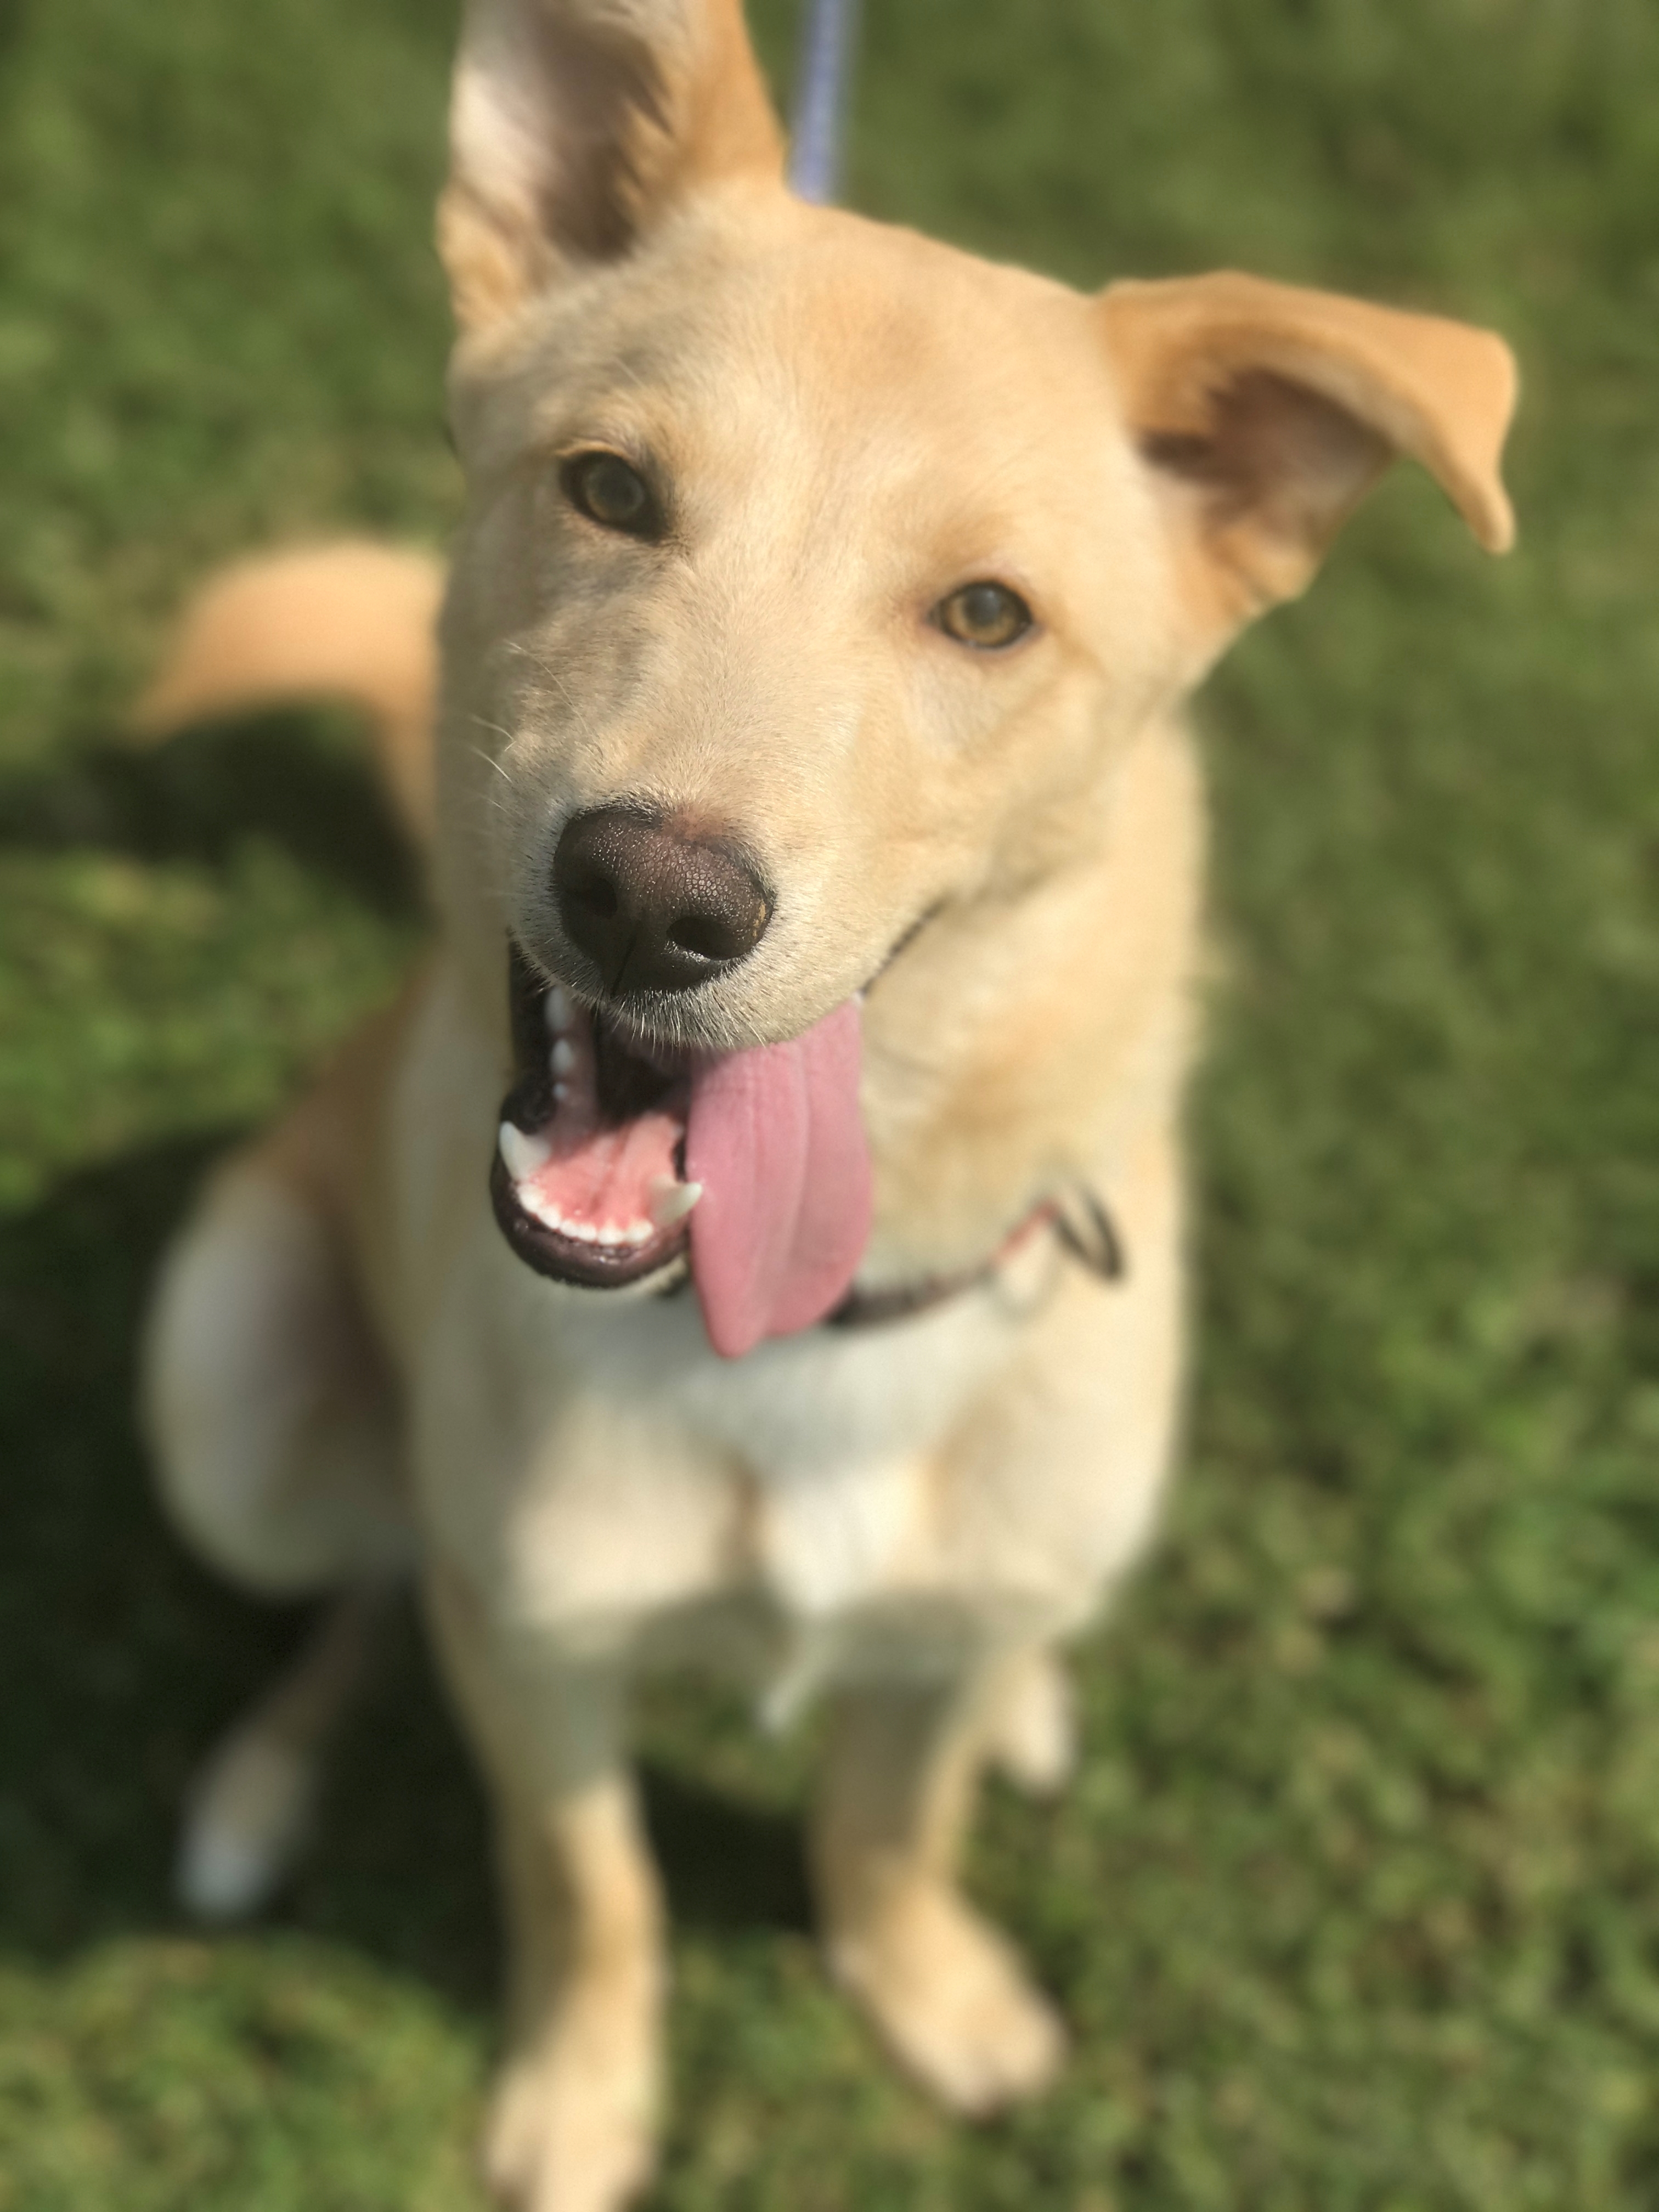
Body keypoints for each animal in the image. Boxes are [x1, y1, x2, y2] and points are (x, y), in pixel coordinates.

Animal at [140, 8, 1522, 2203]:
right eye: (609, 489)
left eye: (986, 614)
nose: (650, 896)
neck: (796, 1335)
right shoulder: (540, 1653)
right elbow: (588, 1882)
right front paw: (582, 2099)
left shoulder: (911, 1666)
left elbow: (888, 1824)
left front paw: (927, 1988)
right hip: (230, 1398)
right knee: (369, 1570)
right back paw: (262, 1781)